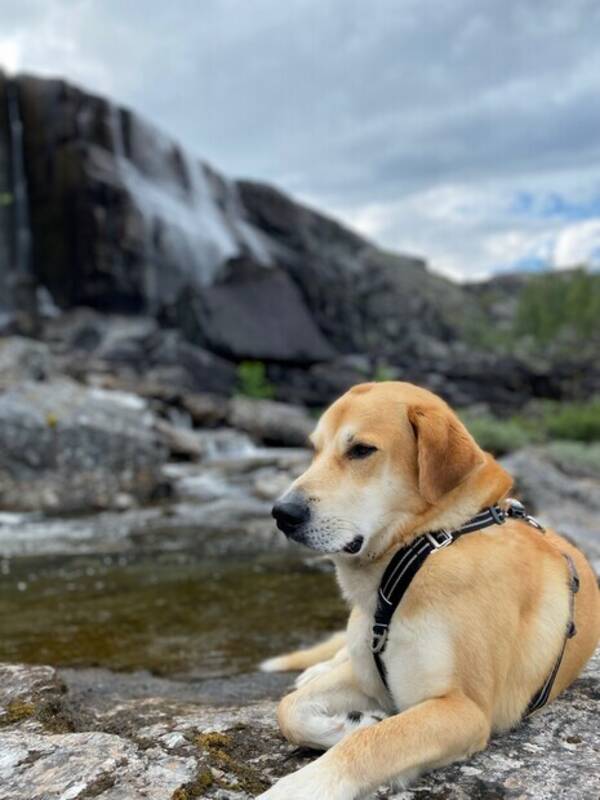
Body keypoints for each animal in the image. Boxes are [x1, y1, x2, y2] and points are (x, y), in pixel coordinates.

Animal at [256, 382, 600, 800]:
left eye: (361, 450)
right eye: (315, 449)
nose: (282, 514)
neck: (420, 551)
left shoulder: (463, 709)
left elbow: (373, 743)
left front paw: (302, 784)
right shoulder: (369, 677)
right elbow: (288, 709)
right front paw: (343, 725)